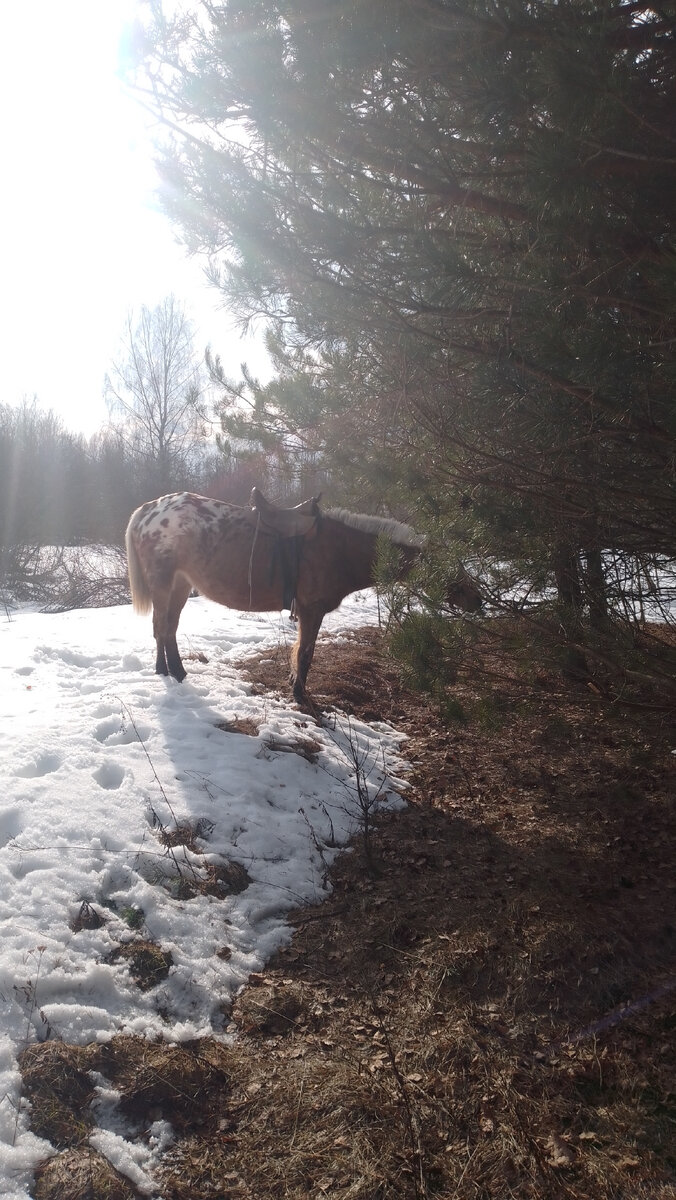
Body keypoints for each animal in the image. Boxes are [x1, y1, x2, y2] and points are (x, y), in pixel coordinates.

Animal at [126, 489, 422, 700]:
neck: (339, 548)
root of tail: (147, 511)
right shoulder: (311, 610)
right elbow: (305, 653)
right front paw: (300, 694)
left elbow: (302, 651)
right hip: (163, 583)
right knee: (161, 628)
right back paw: (164, 671)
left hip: (180, 585)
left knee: (169, 628)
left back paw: (176, 671)